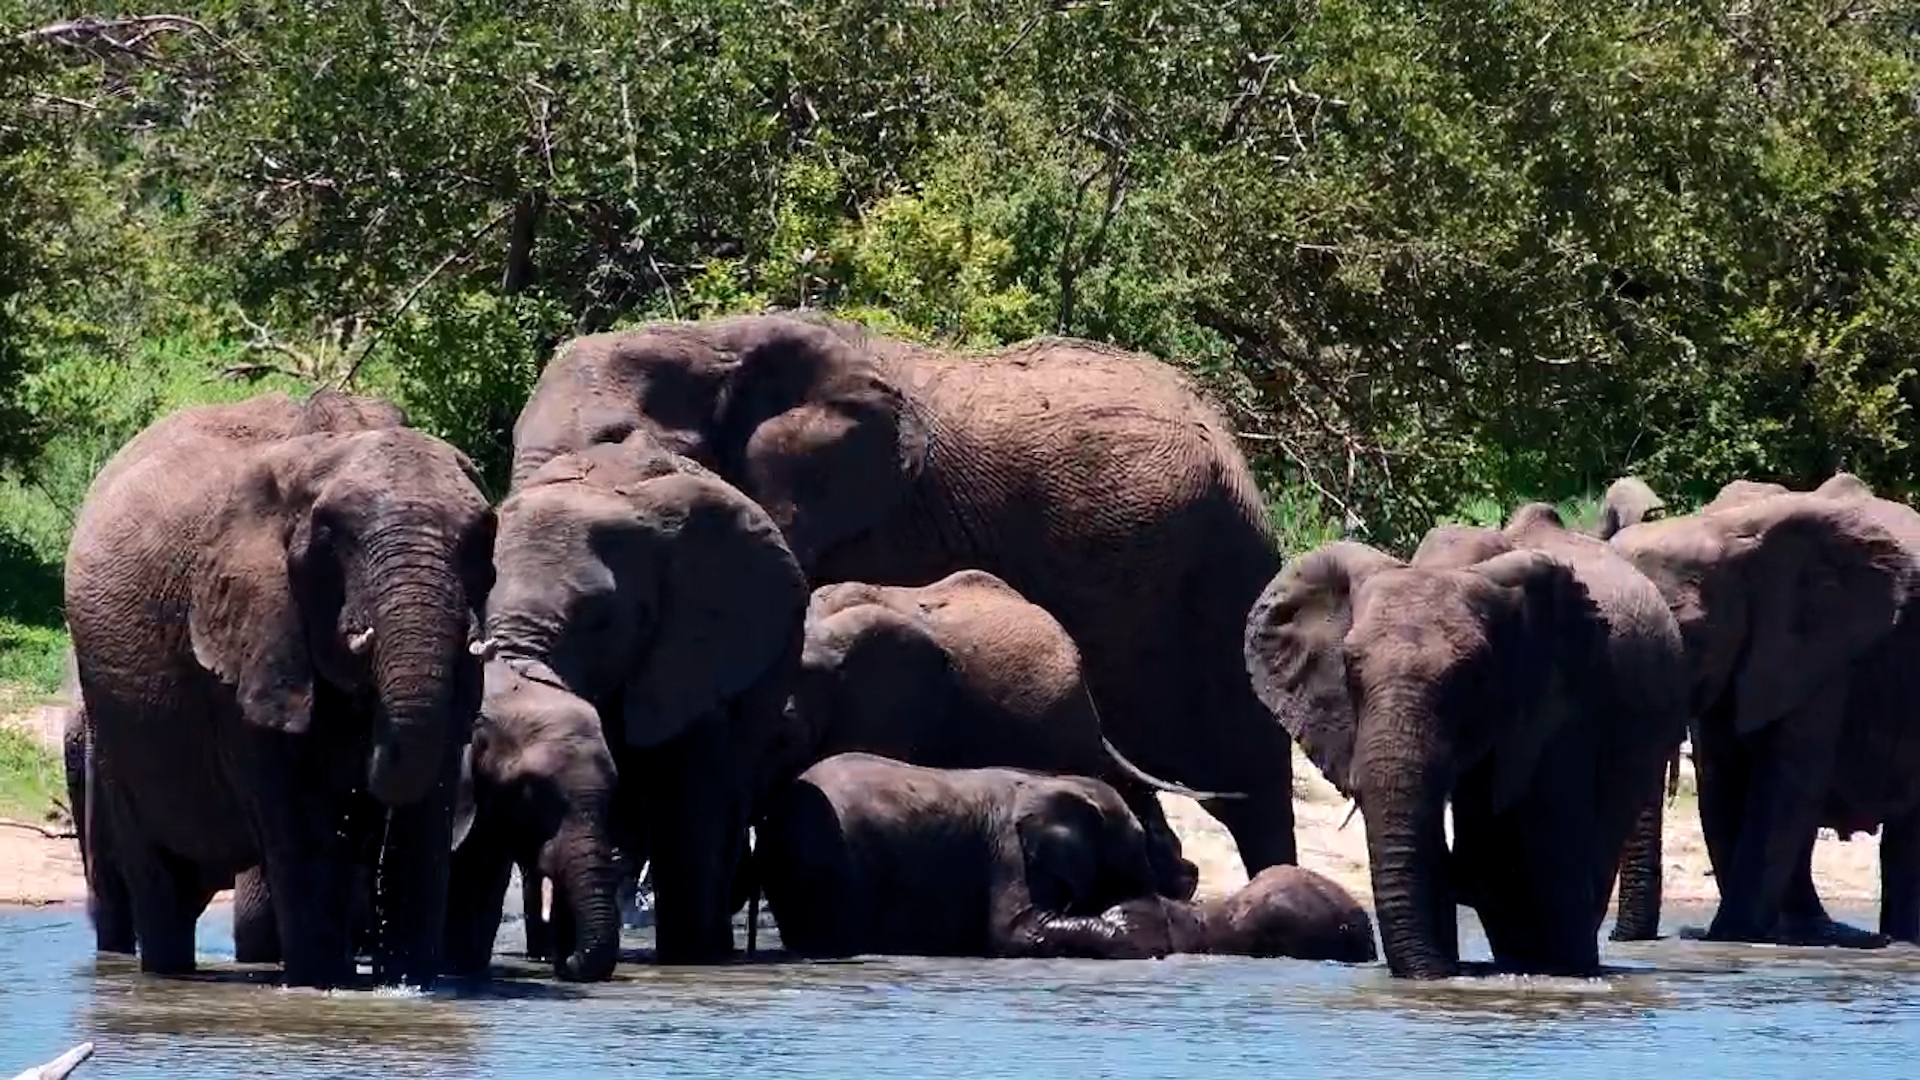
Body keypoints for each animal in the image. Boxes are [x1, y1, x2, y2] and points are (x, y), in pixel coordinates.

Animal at [63, 390, 494, 987]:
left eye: (483, 537)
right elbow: (300, 822)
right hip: (109, 725)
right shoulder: (250, 629)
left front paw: (408, 986)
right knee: (154, 879)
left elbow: (422, 820)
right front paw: (323, 985)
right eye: (333, 537)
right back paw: (167, 975)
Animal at [1243, 539, 1686, 978]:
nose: (1439, 970)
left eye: (1476, 677)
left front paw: (1567, 972)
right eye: (1350, 670)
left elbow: (1551, 850)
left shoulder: (1562, 707)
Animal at [1608, 474, 1920, 947]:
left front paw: (1732, 935)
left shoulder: (1819, 654)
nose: (1619, 938)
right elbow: (1721, 783)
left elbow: (1783, 787)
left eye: (1691, 632)